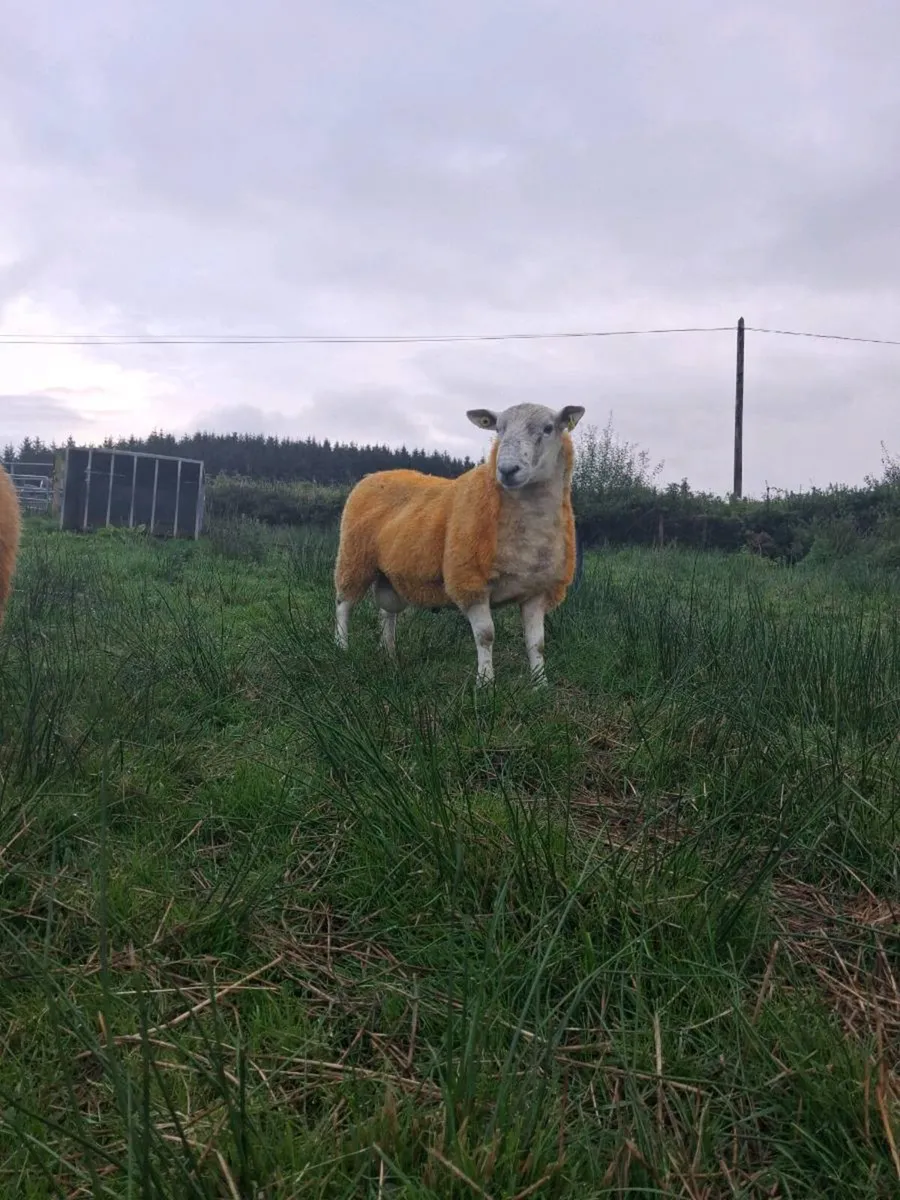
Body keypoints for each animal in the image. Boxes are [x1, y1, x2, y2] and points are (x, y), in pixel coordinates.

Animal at [334, 402, 585, 685]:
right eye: (498, 429)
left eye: (548, 428)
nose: (507, 470)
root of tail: (374, 475)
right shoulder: (470, 582)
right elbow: (486, 635)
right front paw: (485, 683)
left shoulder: (536, 590)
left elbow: (537, 643)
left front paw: (540, 684)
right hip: (354, 558)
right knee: (344, 605)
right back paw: (341, 647)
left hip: (390, 574)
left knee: (388, 613)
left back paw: (389, 653)